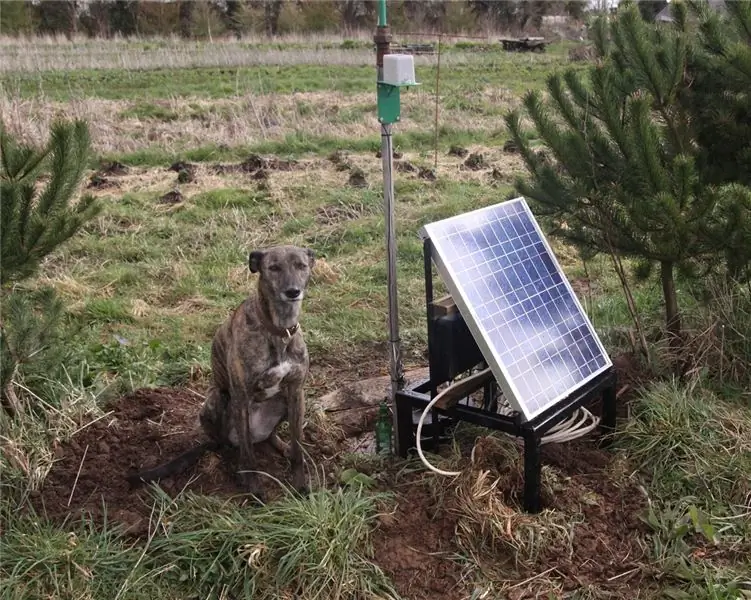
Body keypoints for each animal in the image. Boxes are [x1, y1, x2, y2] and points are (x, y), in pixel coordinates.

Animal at [128, 245, 316, 502]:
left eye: (301, 266)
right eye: (274, 267)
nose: (292, 292)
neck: (278, 330)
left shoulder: (297, 392)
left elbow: (298, 448)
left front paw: (300, 484)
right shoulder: (241, 398)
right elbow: (249, 457)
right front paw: (255, 490)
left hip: (285, 402)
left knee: (270, 437)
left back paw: (282, 447)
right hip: (217, 401)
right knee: (227, 447)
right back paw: (233, 468)